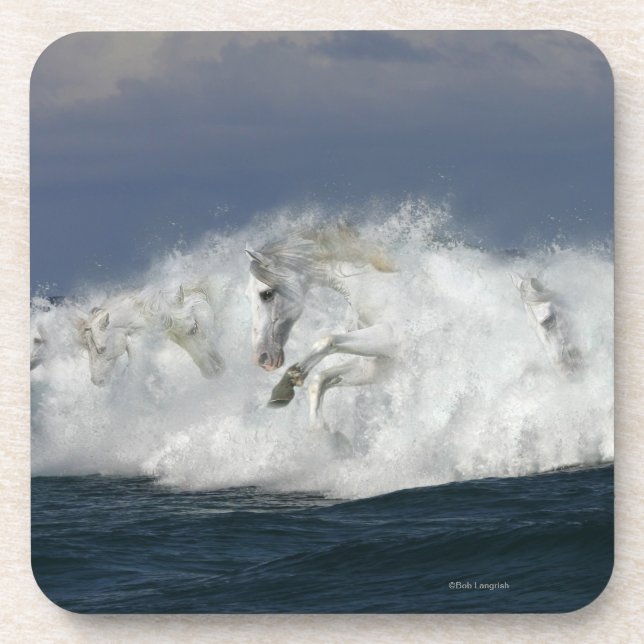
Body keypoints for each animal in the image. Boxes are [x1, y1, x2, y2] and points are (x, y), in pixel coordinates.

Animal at [245, 225, 397, 438]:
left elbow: (326, 341)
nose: (263, 358)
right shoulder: (379, 364)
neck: (374, 288)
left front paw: (286, 385)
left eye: (266, 294)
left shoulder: (391, 337)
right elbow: (319, 380)